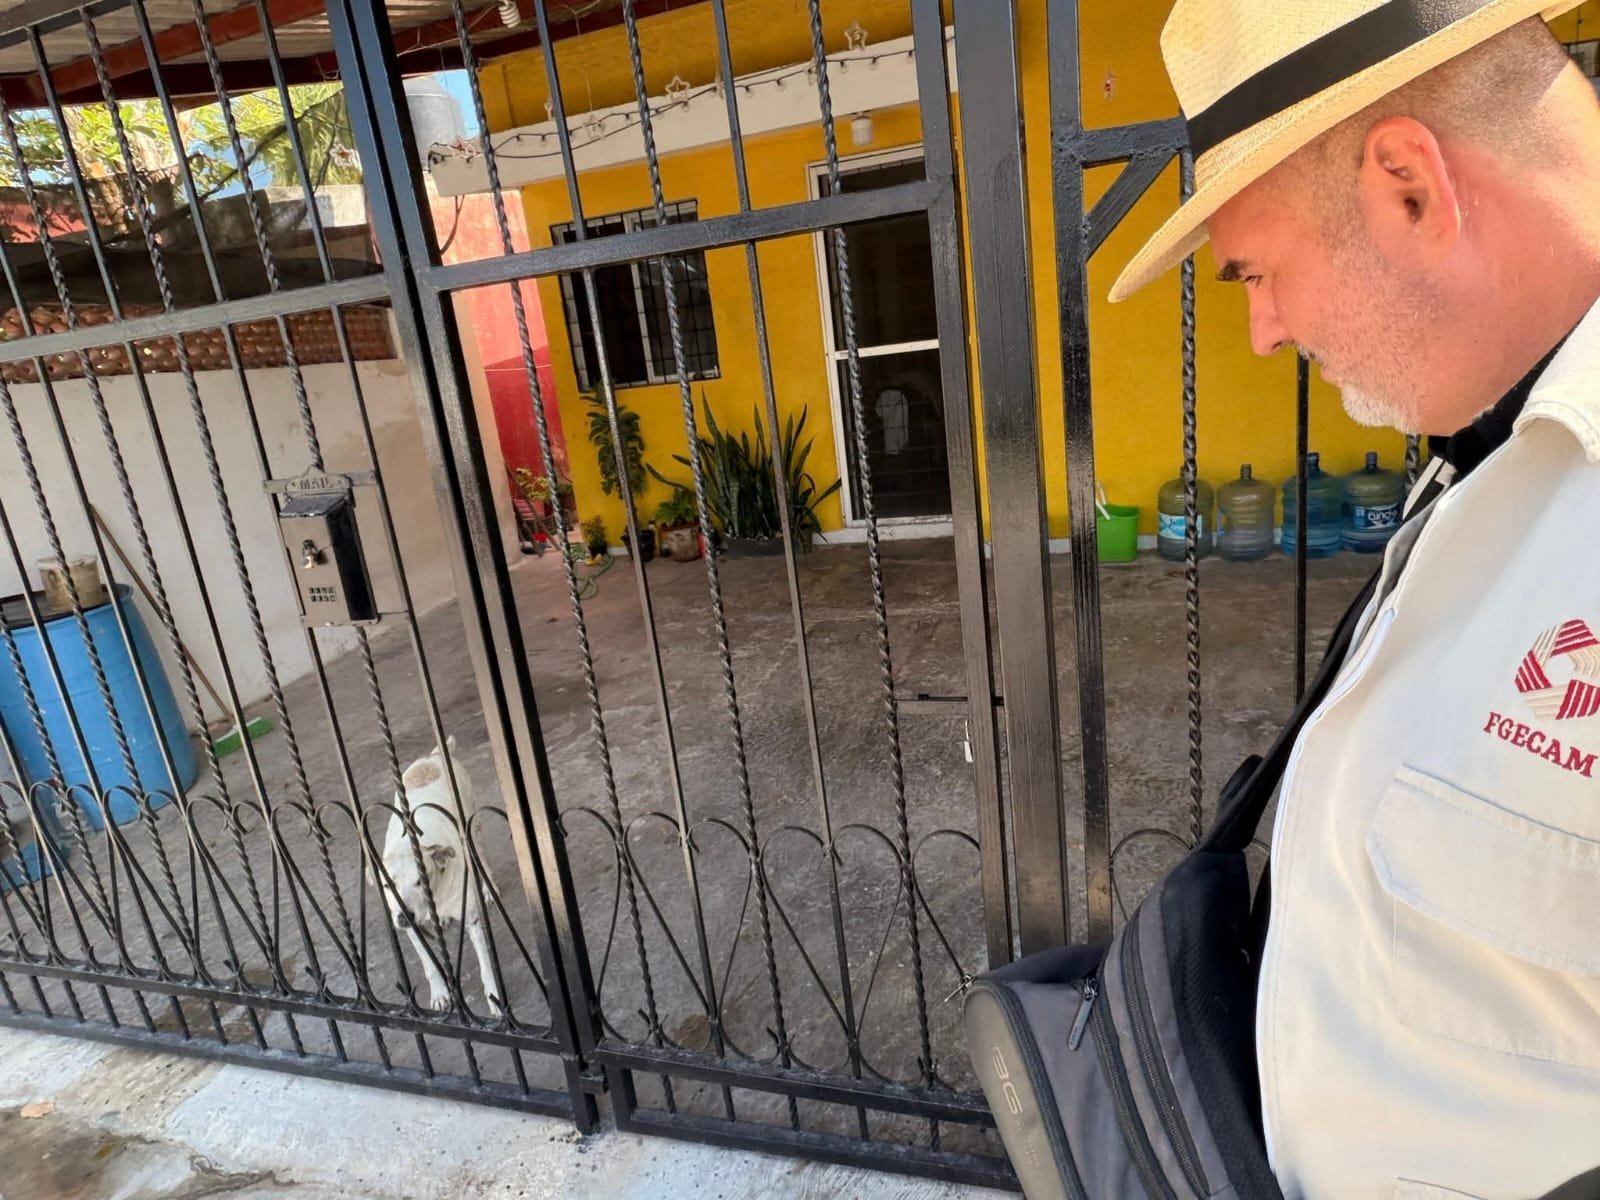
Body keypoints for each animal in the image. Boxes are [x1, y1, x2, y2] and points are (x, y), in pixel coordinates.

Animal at [379, 737, 504, 1017]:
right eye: (388, 884)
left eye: (420, 880)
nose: (404, 918)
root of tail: (433, 755)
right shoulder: (413, 930)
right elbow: (429, 965)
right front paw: (439, 994)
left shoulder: (472, 920)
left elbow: (486, 966)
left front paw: (494, 997)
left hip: (472, 828)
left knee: (481, 858)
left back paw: (488, 888)